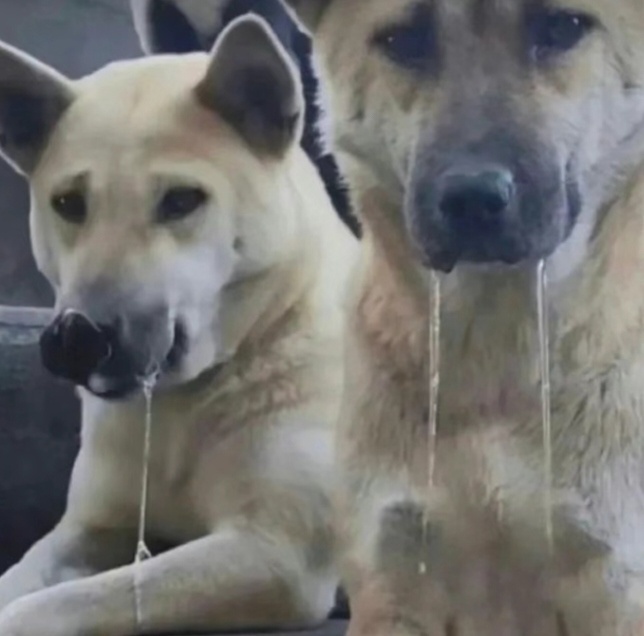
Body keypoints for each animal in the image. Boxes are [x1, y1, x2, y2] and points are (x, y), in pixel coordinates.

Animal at [0, 13, 357, 635]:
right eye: (69, 203)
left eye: (182, 200)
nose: (74, 338)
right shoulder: (87, 529)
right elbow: (24, 576)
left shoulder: (273, 552)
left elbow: (66, 602)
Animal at [158, 1, 644, 634]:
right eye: (404, 40)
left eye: (562, 27)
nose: (472, 198)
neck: (495, 356)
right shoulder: (391, 578)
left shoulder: (613, 584)